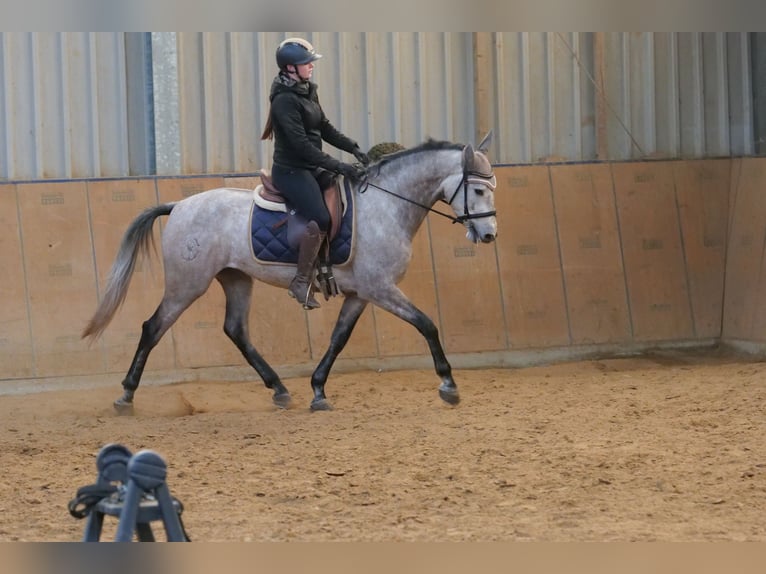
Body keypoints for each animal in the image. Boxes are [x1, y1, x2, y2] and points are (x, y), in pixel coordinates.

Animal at [84, 132, 500, 414]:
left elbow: (338, 339)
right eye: (479, 190)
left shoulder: (360, 294)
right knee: (153, 327)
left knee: (236, 330)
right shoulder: (381, 289)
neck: (386, 205)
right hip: (187, 284)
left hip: (236, 278)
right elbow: (427, 324)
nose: (489, 235)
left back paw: (280, 389)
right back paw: (126, 395)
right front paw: (448, 385)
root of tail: (179, 206)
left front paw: (318, 390)